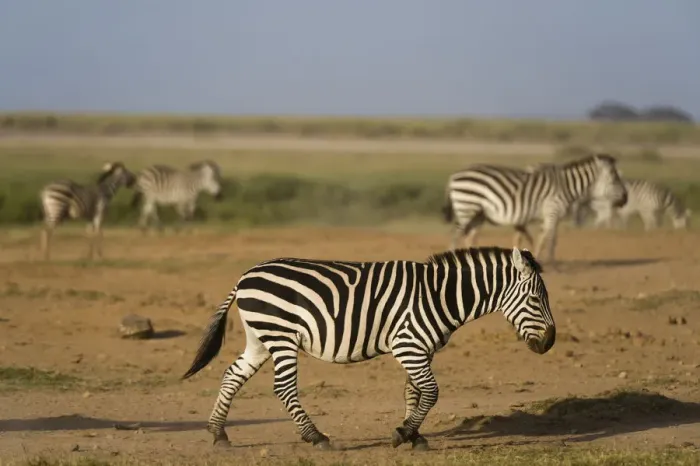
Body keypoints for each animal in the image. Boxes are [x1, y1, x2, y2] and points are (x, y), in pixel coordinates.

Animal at [182, 246, 556, 451]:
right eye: (535, 299)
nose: (550, 343)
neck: (440, 296)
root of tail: (245, 275)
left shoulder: (420, 348)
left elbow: (414, 392)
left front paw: (414, 436)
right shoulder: (408, 345)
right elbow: (431, 392)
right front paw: (403, 433)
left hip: (261, 338)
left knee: (232, 375)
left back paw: (218, 434)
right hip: (282, 335)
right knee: (283, 388)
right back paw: (317, 437)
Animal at [442, 154, 628, 265]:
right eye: (615, 179)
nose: (626, 199)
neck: (566, 186)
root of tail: (453, 176)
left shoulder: (549, 215)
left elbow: (542, 238)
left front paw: (537, 260)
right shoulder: (552, 210)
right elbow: (551, 240)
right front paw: (553, 265)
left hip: (478, 213)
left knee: (469, 235)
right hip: (467, 206)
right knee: (456, 233)